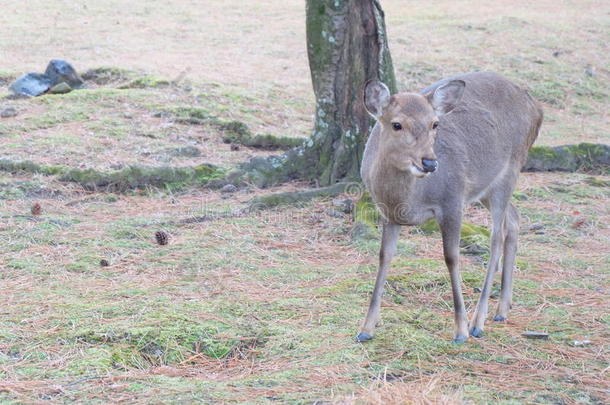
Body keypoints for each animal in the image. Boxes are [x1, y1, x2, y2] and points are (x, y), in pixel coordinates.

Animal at [356, 72, 540, 340]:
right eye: (396, 124)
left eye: (435, 124)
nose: (430, 163)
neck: (409, 199)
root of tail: (537, 107)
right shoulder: (388, 213)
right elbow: (384, 257)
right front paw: (366, 328)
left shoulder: (452, 200)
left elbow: (451, 257)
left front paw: (460, 330)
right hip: (486, 187)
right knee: (514, 218)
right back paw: (502, 309)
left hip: (510, 169)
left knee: (497, 237)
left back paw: (477, 322)